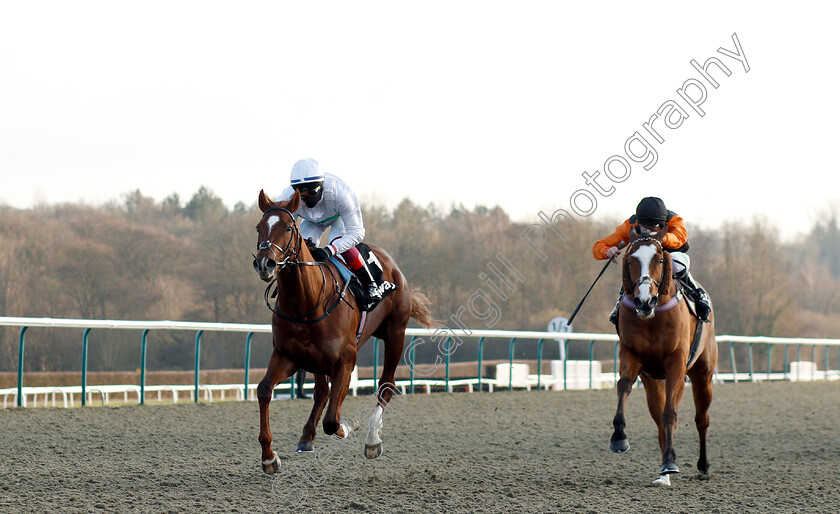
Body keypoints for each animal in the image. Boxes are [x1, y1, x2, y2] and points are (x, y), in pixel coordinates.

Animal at [251, 188, 436, 472]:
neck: (308, 302)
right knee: (321, 392)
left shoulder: (345, 361)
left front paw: (349, 426)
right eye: (259, 227)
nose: (265, 264)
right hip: (316, 360)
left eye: (289, 228)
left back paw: (372, 439)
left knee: (386, 385)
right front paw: (269, 456)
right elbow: (263, 390)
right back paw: (306, 437)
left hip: (396, 333)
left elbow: (332, 420)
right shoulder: (287, 356)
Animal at [608, 226, 720, 482]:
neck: (652, 318)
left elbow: (671, 413)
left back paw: (703, 465)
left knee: (701, 419)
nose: (644, 300)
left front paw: (670, 461)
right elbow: (623, 387)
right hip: (653, 380)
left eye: (659, 259)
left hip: (702, 375)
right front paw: (619, 437)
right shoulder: (631, 355)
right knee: (659, 418)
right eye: (630, 260)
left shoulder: (676, 363)